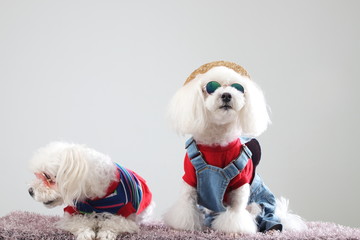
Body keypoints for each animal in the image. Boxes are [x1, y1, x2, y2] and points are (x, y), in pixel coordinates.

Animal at [164, 61, 306, 233]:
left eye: (238, 87)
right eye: (211, 87)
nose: (226, 95)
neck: (217, 145)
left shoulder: (240, 184)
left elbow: (235, 212)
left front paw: (233, 229)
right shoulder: (189, 180)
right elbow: (186, 207)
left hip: (258, 206)